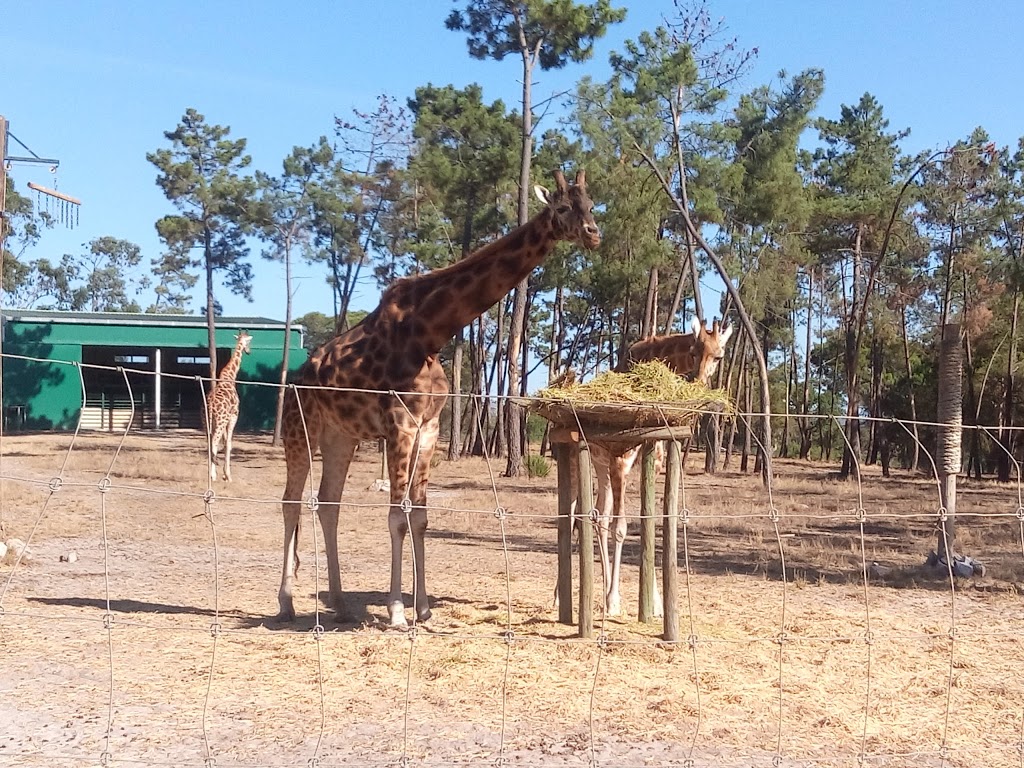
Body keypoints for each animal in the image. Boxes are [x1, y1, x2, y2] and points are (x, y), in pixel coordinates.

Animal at [203, 329, 251, 481]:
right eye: (249, 342)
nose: (249, 351)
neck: (229, 377)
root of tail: (210, 406)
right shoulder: (233, 415)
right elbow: (228, 443)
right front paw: (228, 475)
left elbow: (225, 443)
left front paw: (224, 474)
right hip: (220, 421)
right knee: (214, 442)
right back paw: (213, 476)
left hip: (207, 422)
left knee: (209, 442)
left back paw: (211, 473)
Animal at [276, 167, 602, 626]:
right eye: (561, 208)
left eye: (590, 205)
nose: (593, 235)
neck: (431, 331)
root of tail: (299, 375)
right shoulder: (399, 424)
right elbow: (397, 516)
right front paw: (397, 611)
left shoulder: (428, 428)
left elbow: (421, 516)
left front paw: (424, 608)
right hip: (299, 427)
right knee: (290, 501)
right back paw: (286, 602)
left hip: (341, 437)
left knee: (327, 504)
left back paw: (339, 603)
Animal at [577, 315, 729, 618]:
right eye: (693, 352)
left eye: (718, 356)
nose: (697, 383)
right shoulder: (622, 461)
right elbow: (621, 527)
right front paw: (614, 601)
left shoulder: (653, 462)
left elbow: (650, 524)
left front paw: (656, 603)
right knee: (579, 513)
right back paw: (568, 598)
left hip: (600, 464)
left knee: (598, 516)